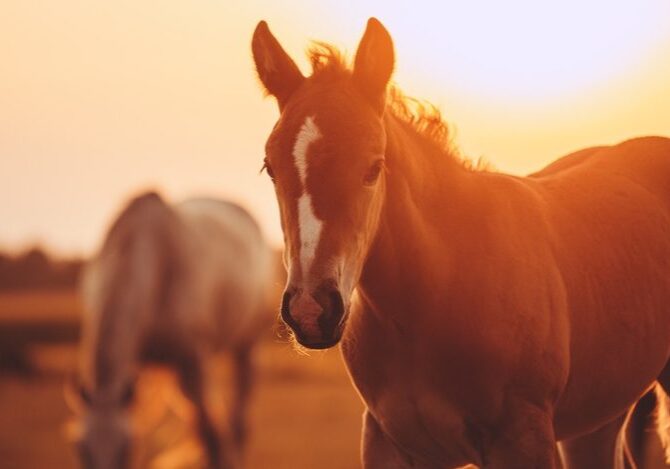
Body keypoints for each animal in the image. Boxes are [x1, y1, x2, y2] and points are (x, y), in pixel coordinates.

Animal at [72, 191, 276, 469]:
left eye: (127, 448)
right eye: (82, 450)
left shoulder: (194, 364)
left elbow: (211, 434)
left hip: (246, 347)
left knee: (237, 423)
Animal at [251, 17, 670, 468]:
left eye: (374, 167)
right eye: (270, 167)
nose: (311, 310)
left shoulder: (524, 440)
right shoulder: (388, 443)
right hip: (597, 415)